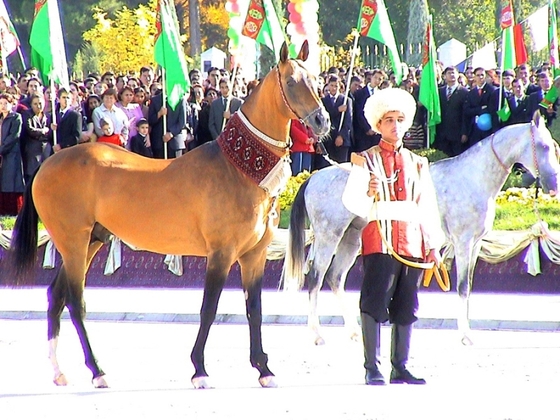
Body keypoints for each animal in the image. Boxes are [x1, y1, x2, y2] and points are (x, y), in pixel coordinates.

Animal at [8, 41, 330, 388]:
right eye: (292, 82)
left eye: (316, 79)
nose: (322, 121)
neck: (239, 168)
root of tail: (47, 163)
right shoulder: (221, 253)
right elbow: (209, 308)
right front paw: (199, 370)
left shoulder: (253, 255)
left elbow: (254, 309)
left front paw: (263, 368)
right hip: (73, 243)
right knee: (75, 301)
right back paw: (98, 371)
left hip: (90, 240)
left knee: (56, 295)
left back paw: (59, 371)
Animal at [284, 114, 560, 344]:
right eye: (544, 147)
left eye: (553, 146)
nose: (553, 185)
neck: (472, 177)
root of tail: (313, 177)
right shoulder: (463, 242)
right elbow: (462, 287)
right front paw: (465, 336)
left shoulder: (476, 244)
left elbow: (468, 286)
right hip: (328, 238)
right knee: (316, 278)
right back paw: (317, 334)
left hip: (350, 240)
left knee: (335, 278)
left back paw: (352, 332)